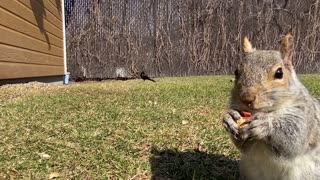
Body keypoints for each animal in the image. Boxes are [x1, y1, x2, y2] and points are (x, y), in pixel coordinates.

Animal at [222, 33, 320, 179]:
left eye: (279, 73)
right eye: (236, 72)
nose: (246, 98)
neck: (269, 111)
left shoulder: (306, 116)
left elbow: (294, 140)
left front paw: (265, 124)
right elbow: (243, 146)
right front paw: (230, 117)